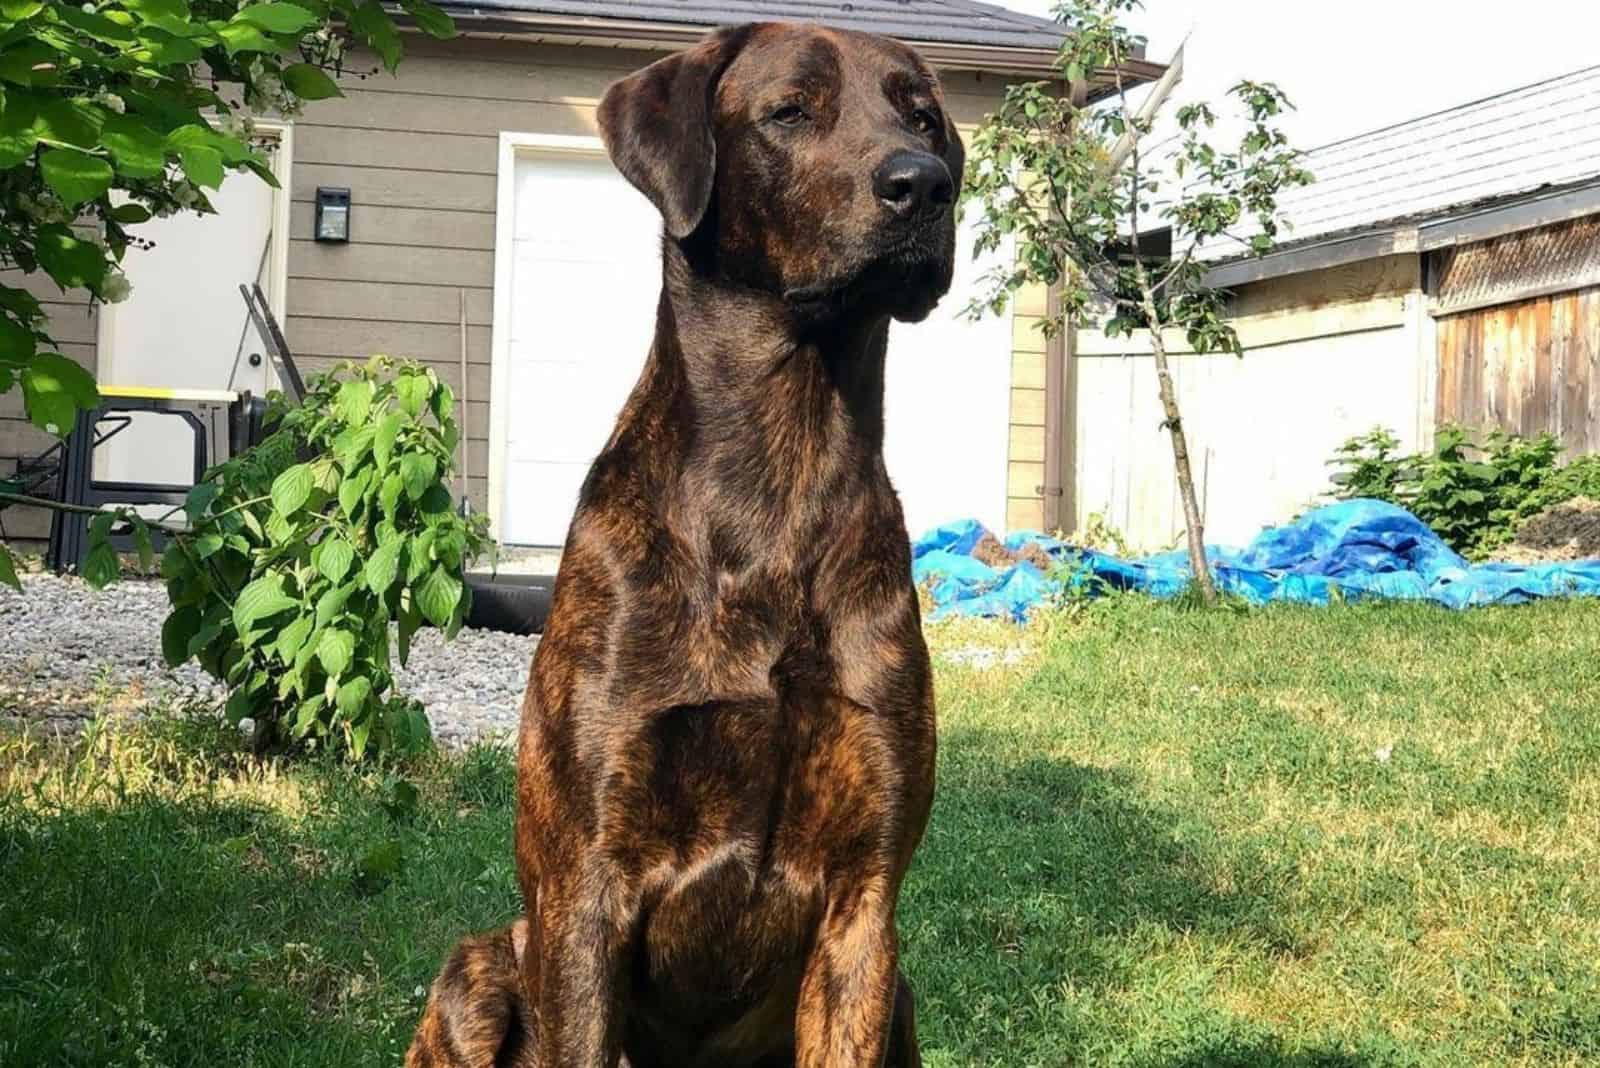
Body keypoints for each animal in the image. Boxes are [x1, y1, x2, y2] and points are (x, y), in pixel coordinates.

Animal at [512, 18, 953, 1068]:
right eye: (790, 111)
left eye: (921, 115)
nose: (924, 184)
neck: (778, 480)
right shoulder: (582, 887)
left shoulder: (864, 903)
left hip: (904, 997)